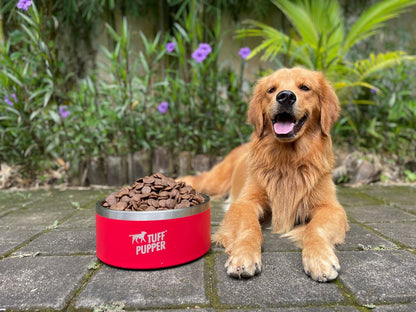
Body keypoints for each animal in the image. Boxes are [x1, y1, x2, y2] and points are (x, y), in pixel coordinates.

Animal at [180, 67, 350, 282]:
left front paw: (320, 258)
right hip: (214, 181)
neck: (288, 160)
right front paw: (244, 254)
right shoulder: (245, 202)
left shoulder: (331, 208)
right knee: (195, 179)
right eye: (271, 89)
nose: (285, 96)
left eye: (305, 87)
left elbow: (315, 228)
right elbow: (250, 227)